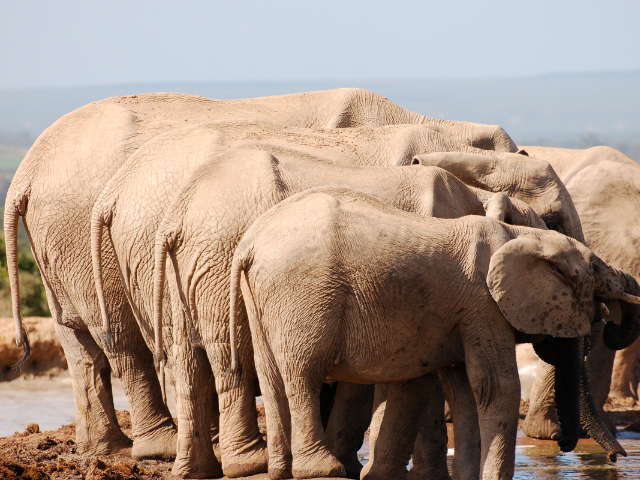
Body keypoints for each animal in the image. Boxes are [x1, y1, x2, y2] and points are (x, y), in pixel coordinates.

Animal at [5, 88, 516, 464]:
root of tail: (25, 171)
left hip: (72, 242)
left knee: (86, 340)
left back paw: (115, 449)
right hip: (89, 234)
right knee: (125, 340)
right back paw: (166, 451)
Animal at [230, 187, 640, 480]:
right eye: (593, 270)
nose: (614, 458)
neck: (520, 235)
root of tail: (250, 242)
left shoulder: (462, 316)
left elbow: (465, 391)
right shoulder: (482, 306)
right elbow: (496, 386)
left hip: (264, 297)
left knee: (272, 376)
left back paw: (279, 471)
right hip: (303, 292)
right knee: (303, 373)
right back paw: (321, 471)